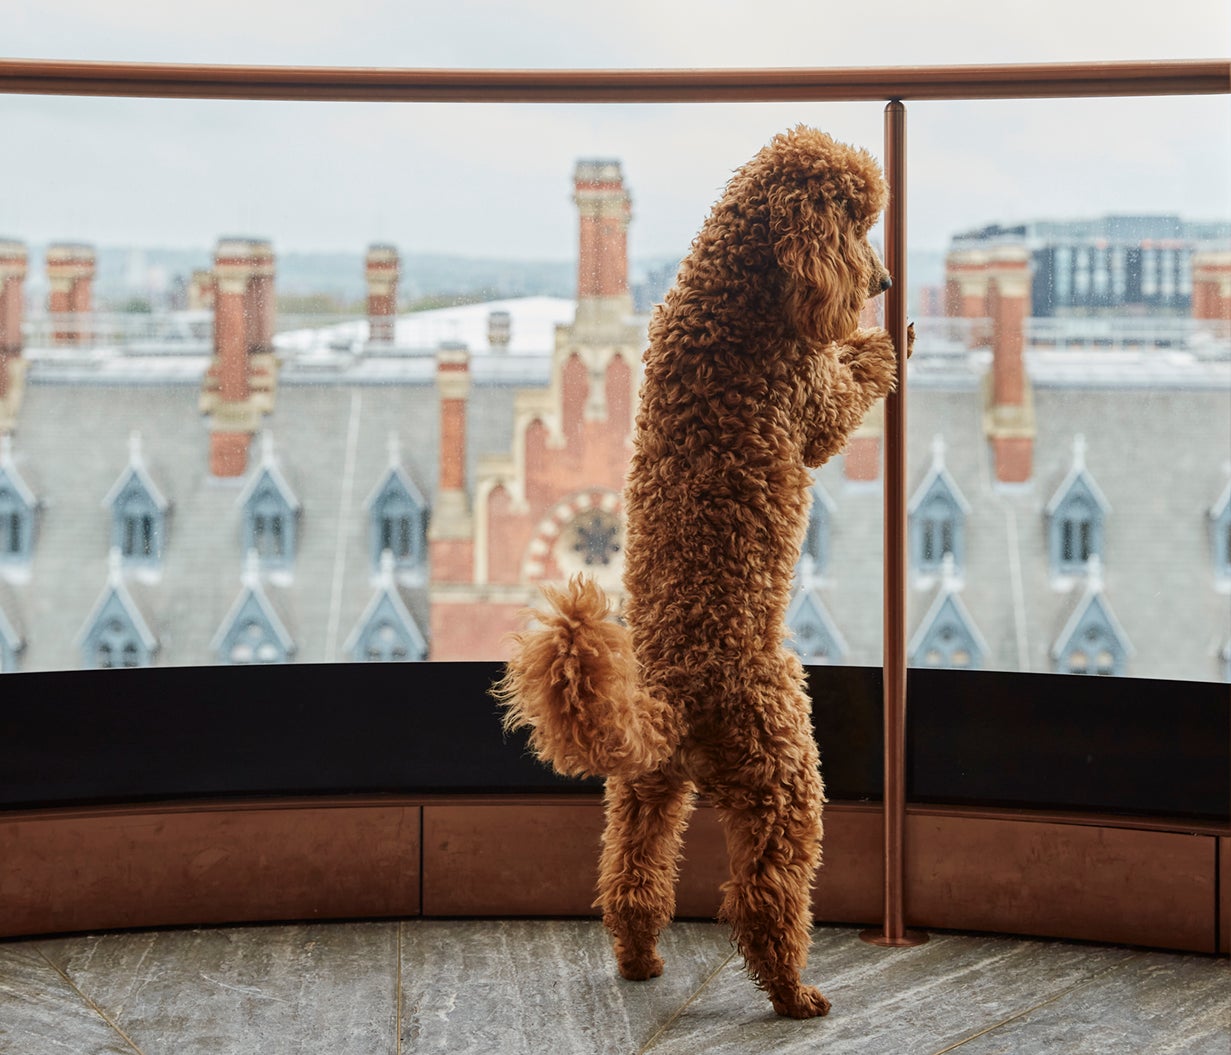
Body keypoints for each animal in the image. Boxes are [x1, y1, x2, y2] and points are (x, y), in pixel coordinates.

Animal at [494, 125, 910, 1019]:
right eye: (854, 223)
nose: (885, 281)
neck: (738, 287)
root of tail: (673, 696)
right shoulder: (811, 409)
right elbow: (847, 385)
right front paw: (878, 343)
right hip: (786, 773)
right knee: (765, 895)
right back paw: (793, 992)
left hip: (646, 788)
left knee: (631, 875)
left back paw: (639, 958)